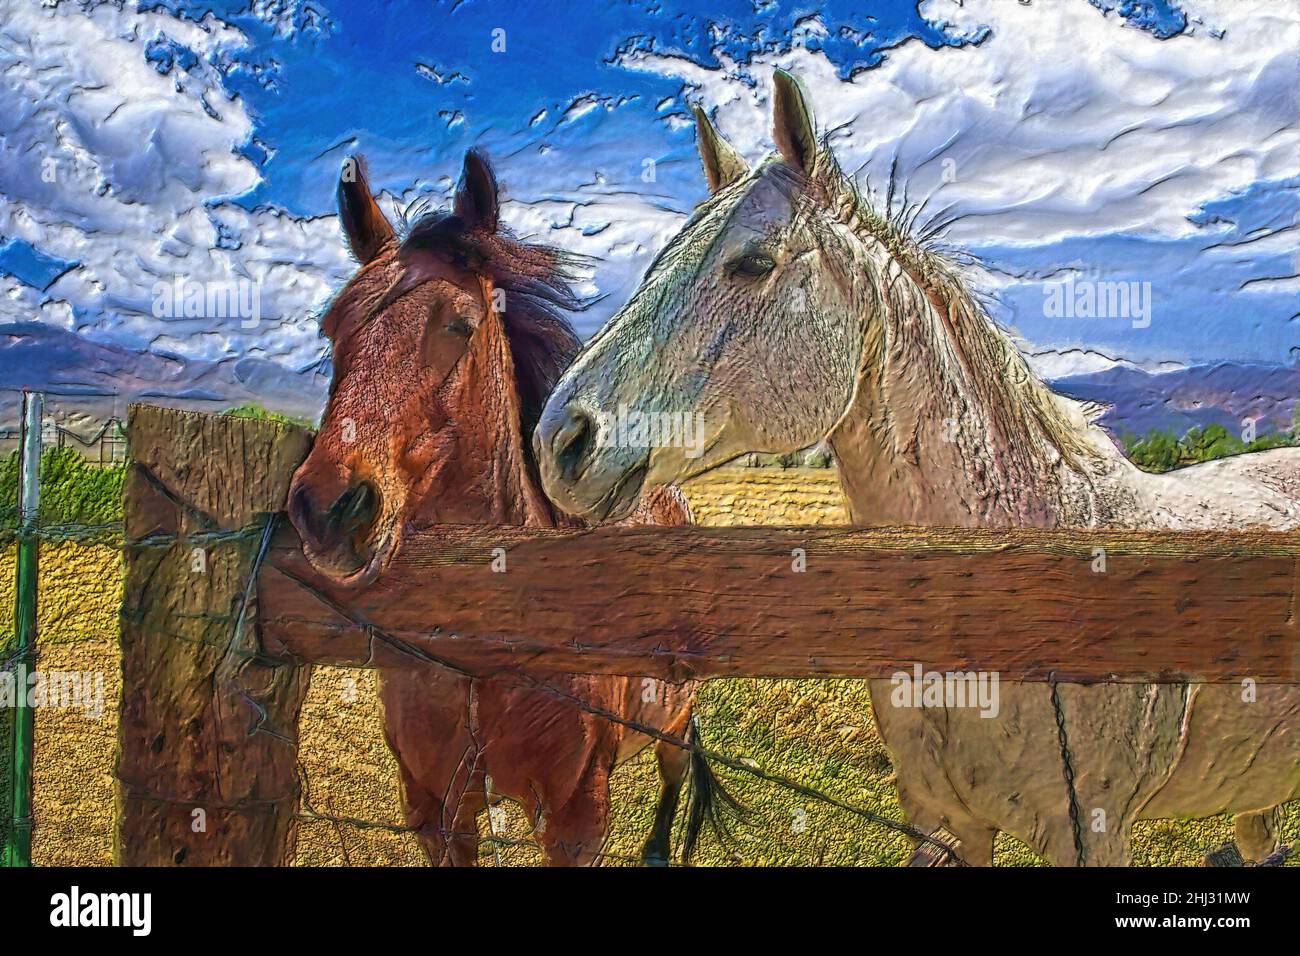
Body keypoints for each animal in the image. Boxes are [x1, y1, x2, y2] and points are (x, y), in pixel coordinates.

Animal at [286, 149, 739, 866]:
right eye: (334, 328)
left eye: (459, 324)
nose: (331, 509)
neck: (481, 655)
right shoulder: (437, 812)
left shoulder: (577, 821)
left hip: (673, 720)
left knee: (673, 777)